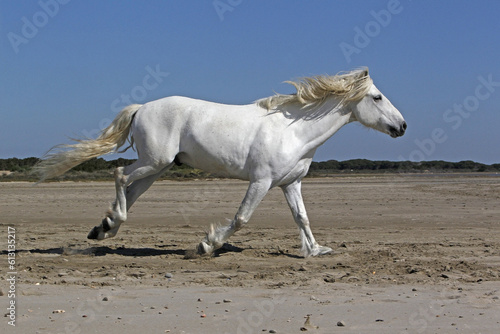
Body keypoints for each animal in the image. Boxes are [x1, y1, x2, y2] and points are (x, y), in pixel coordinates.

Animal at [39, 67, 406, 256]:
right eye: (377, 97)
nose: (402, 126)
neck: (293, 130)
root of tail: (142, 107)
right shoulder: (261, 181)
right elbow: (241, 218)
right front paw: (206, 244)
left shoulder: (290, 183)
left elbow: (301, 217)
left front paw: (316, 250)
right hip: (154, 161)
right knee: (120, 174)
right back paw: (110, 224)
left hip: (157, 167)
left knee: (131, 189)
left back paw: (105, 227)